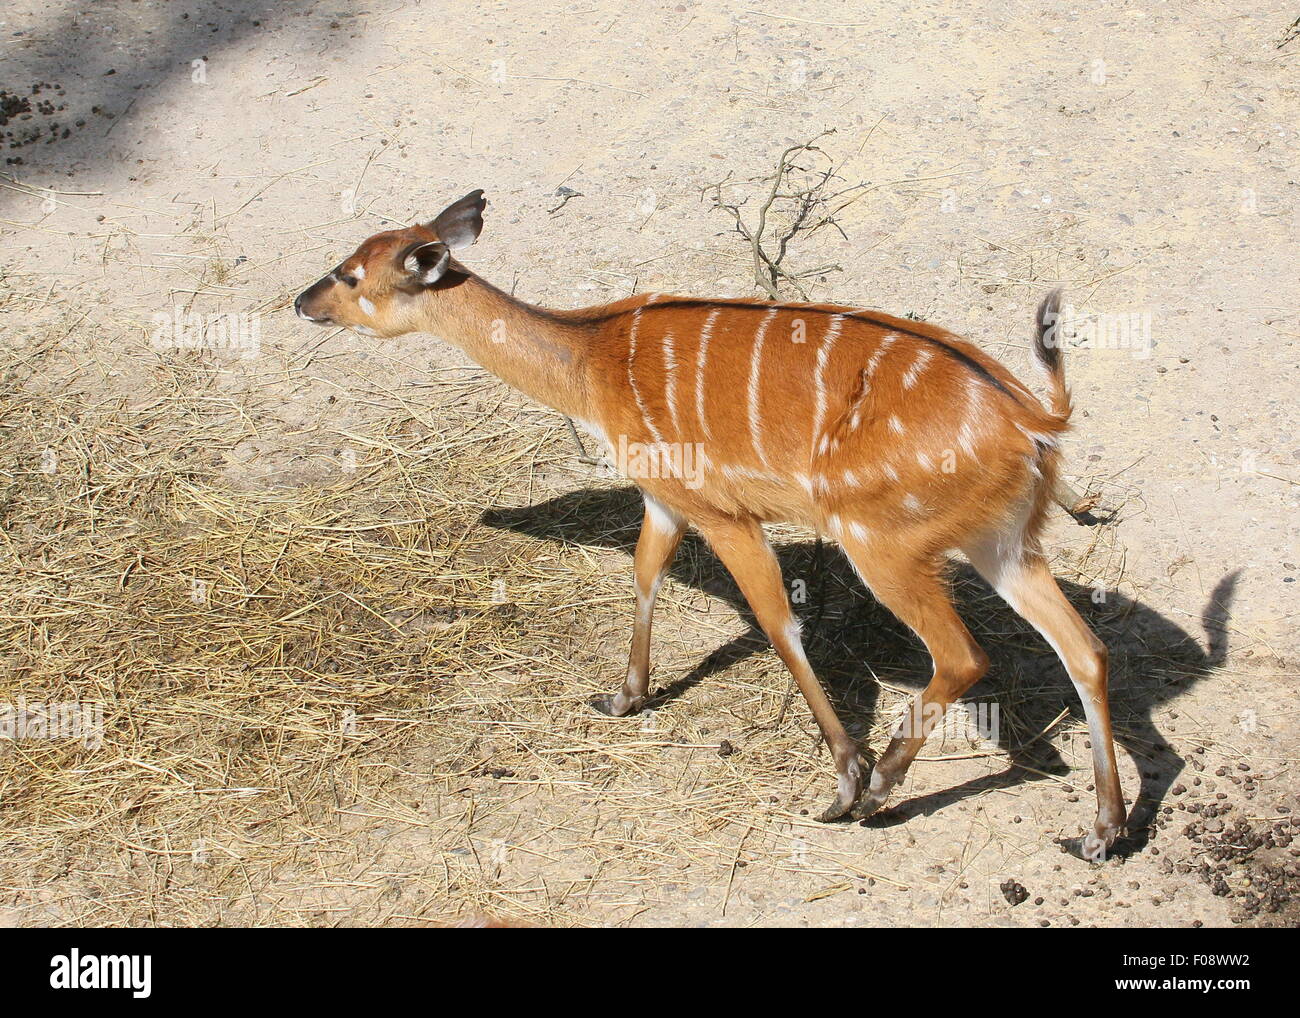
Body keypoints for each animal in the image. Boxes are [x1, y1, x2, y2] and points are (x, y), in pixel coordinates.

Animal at [295, 188, 1128, 858]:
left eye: (350, 274)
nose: (302, 302)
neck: (593, 359)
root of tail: (1034, 420)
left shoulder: (723, 513)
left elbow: (778, 625)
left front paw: (843, 781)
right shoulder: (666, 500)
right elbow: (644, 572)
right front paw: (623, 698)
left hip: (882, 542)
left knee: (964, 656)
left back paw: (879, 790)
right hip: (1003, 543)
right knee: (1084, 649)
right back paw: (1102, 831)